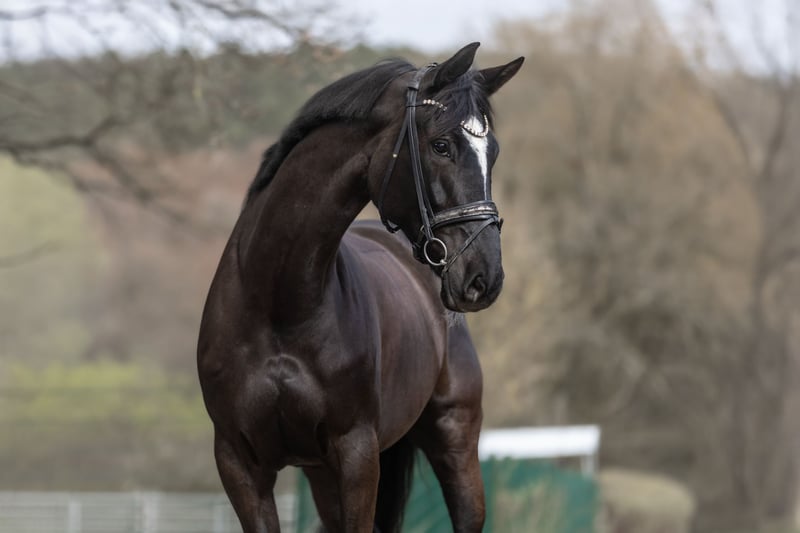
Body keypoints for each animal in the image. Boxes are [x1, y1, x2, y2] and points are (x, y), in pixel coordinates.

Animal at [197, 42, 523, 533]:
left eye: (495, 153)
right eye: (441, 145)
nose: (484, 278)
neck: (278, 303)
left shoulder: (356, 453)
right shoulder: (239, 462)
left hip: (455, 439)